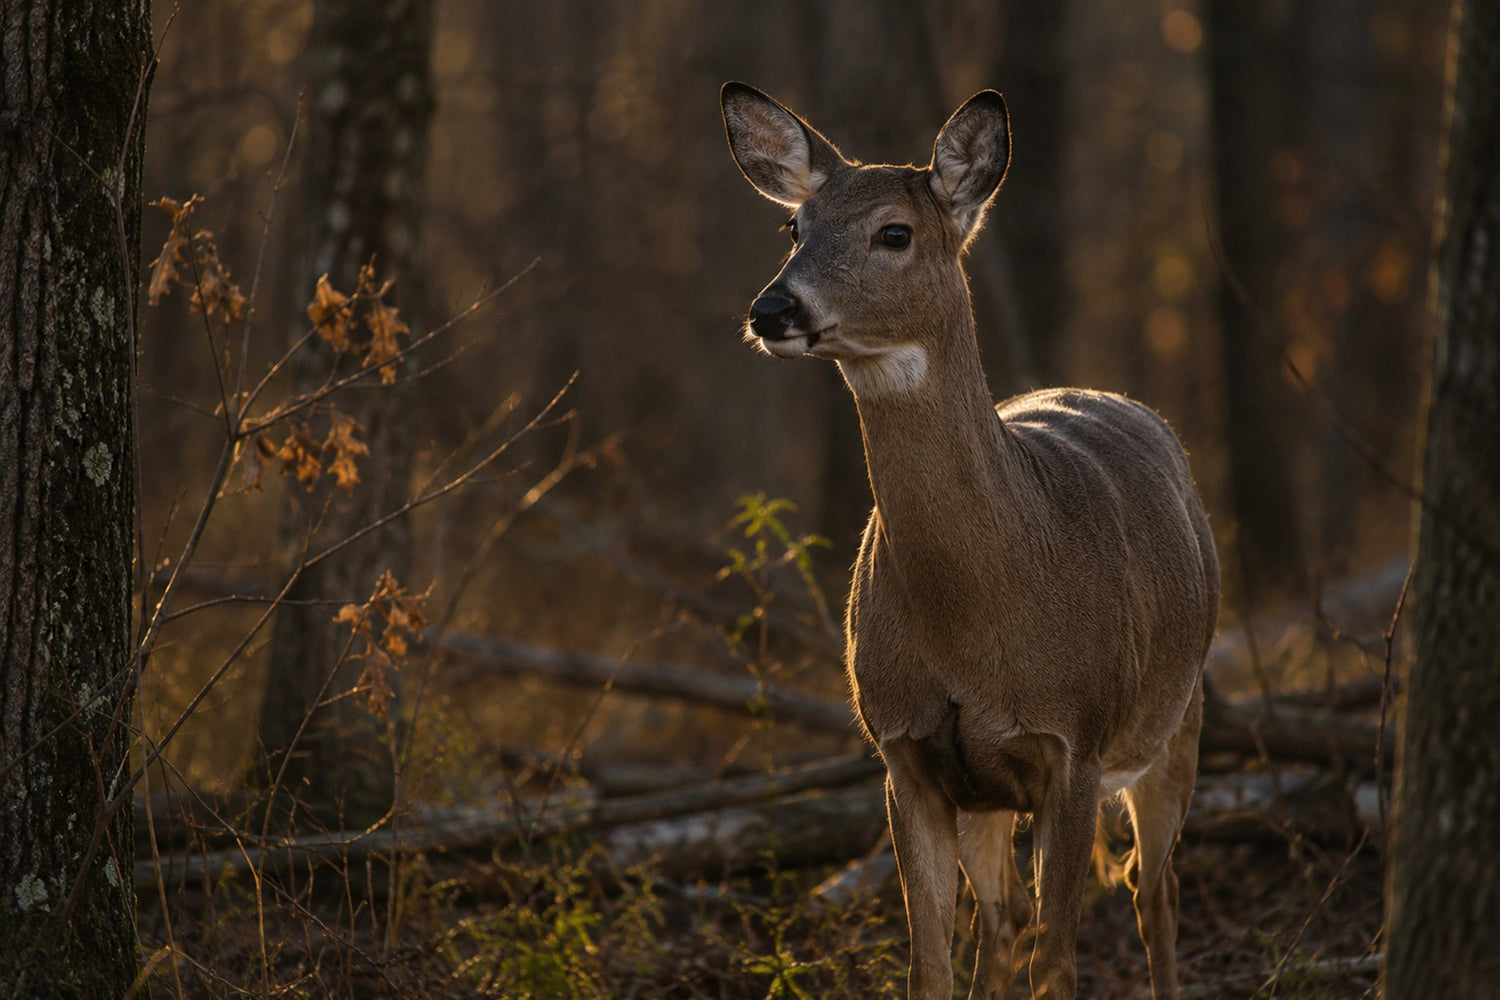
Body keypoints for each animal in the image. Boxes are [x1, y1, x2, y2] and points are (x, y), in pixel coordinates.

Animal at [720, 82, 1219, 1000]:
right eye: (793, 228)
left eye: (894, 232)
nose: (773, 309)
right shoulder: (904, 751)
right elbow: (932, 961)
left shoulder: (1074, 742)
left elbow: (1058, 961)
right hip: (990, 793)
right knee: (1005, 917)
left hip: (1177, 716)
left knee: (1152, 886)